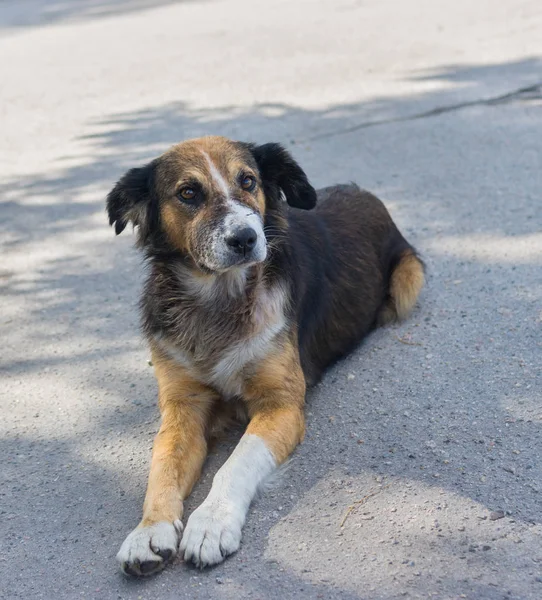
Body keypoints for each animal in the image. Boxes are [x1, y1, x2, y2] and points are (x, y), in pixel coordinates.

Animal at [107, 136, 424, 576]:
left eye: (248, 181)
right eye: (188, 193)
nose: (244, 238)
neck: (219, 300)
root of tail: (363, 191)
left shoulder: (282, 404)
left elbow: (236, 462)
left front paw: (210, 523)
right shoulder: (182, 404)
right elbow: (163, 468)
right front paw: (148, 531)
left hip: (406, 283)